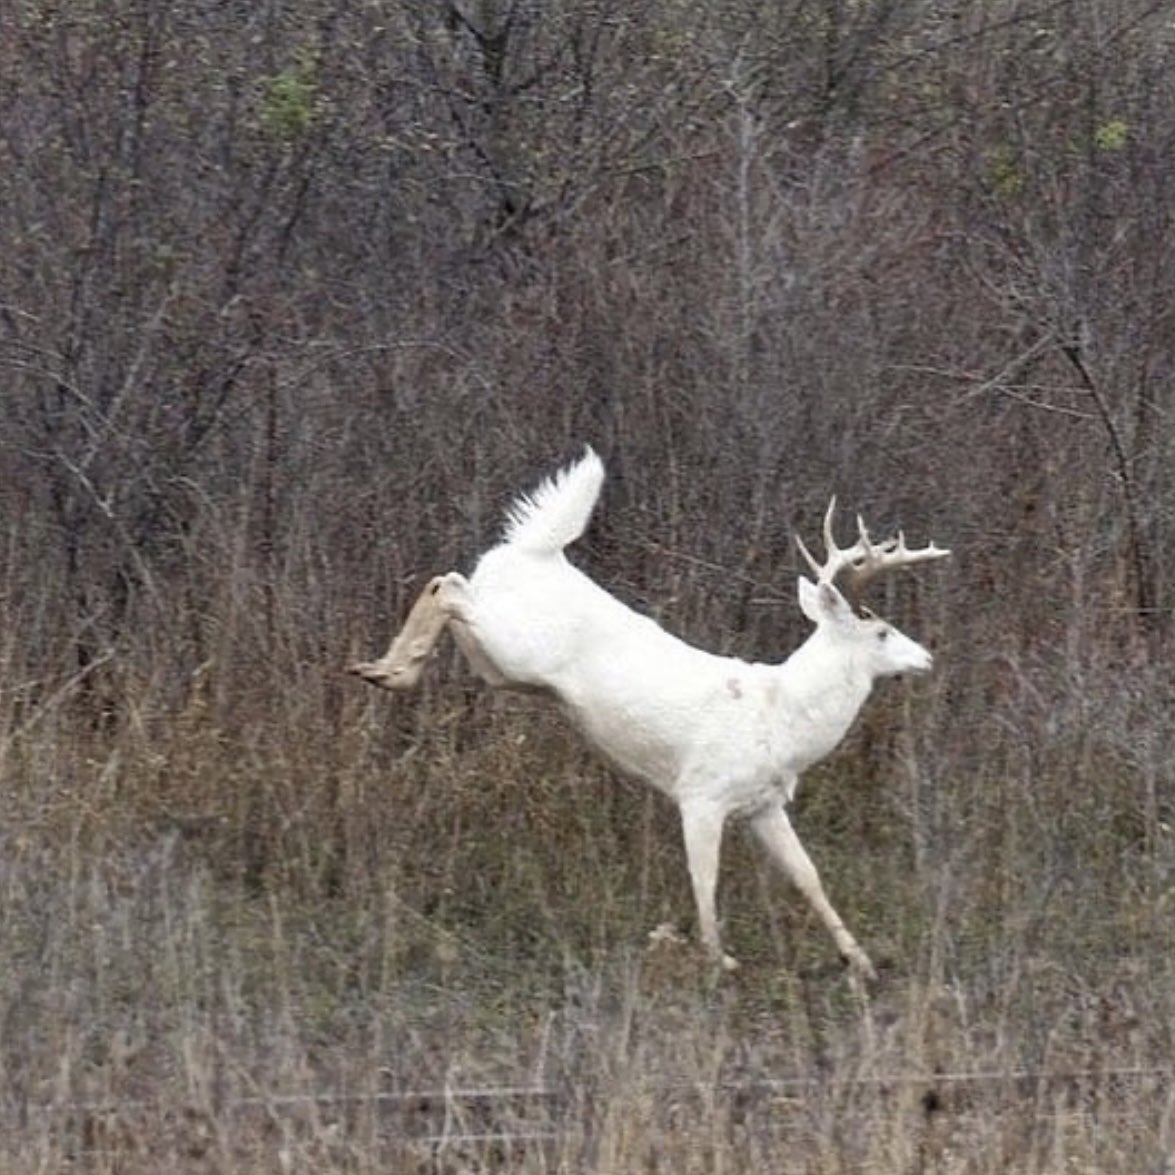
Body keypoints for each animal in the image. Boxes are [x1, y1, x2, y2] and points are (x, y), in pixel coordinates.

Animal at [349, 447, 949, 980]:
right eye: (881, 630)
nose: (926, 657)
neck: (782, 716)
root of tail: (537, 553)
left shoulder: (763, 804)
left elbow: (809, 876)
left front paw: (861, 961)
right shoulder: (701, 794)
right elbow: (704, 880)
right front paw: (718, 961)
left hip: (502, 666)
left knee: (450, 587)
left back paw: (384, 668)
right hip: (514, 645)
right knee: (447, 585)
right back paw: (390, 670)